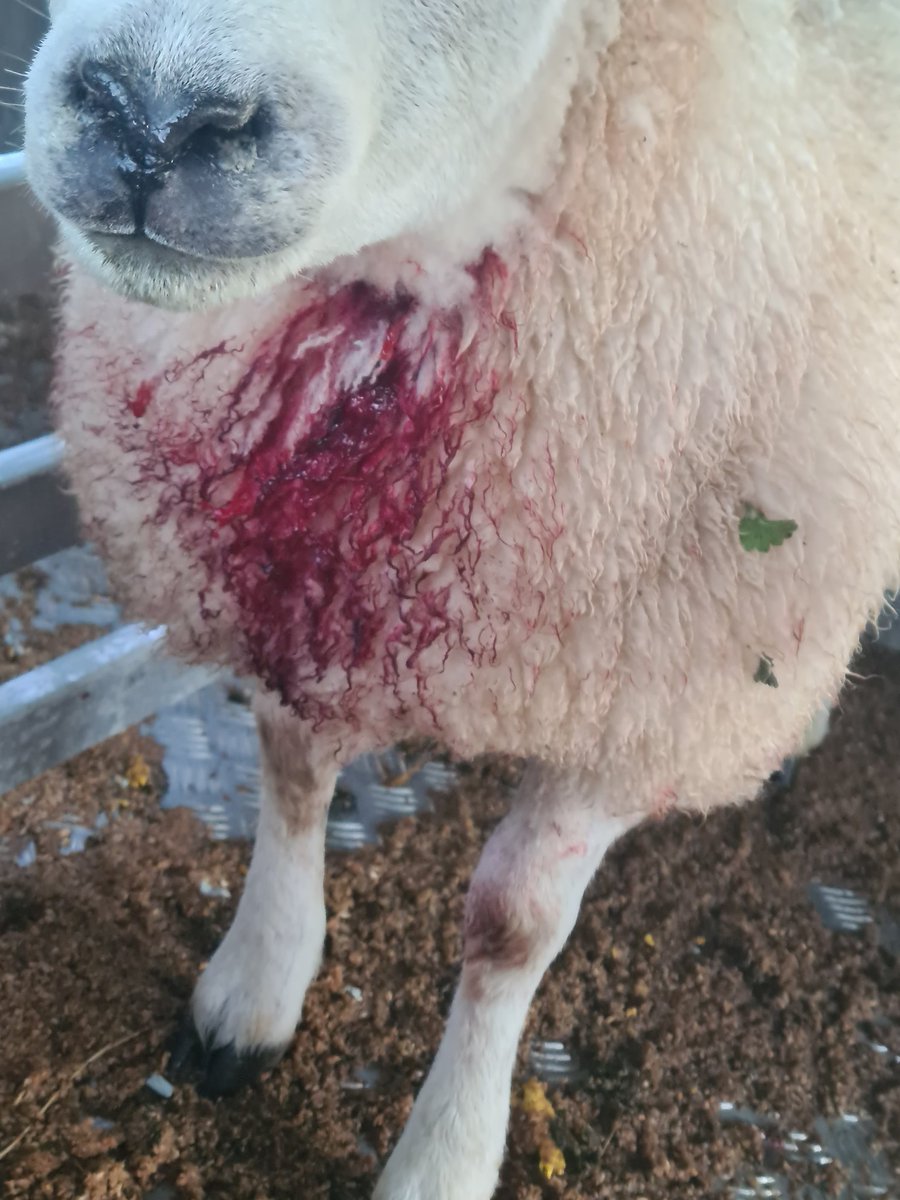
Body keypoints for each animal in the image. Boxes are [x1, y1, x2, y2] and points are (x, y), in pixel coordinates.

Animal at [22, 0, 900, 1196]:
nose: (147, 118)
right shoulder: (306, 584)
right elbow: (291, 777)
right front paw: (252, 992)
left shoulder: (653, 692)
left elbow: (512, 926)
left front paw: (445, 1150)